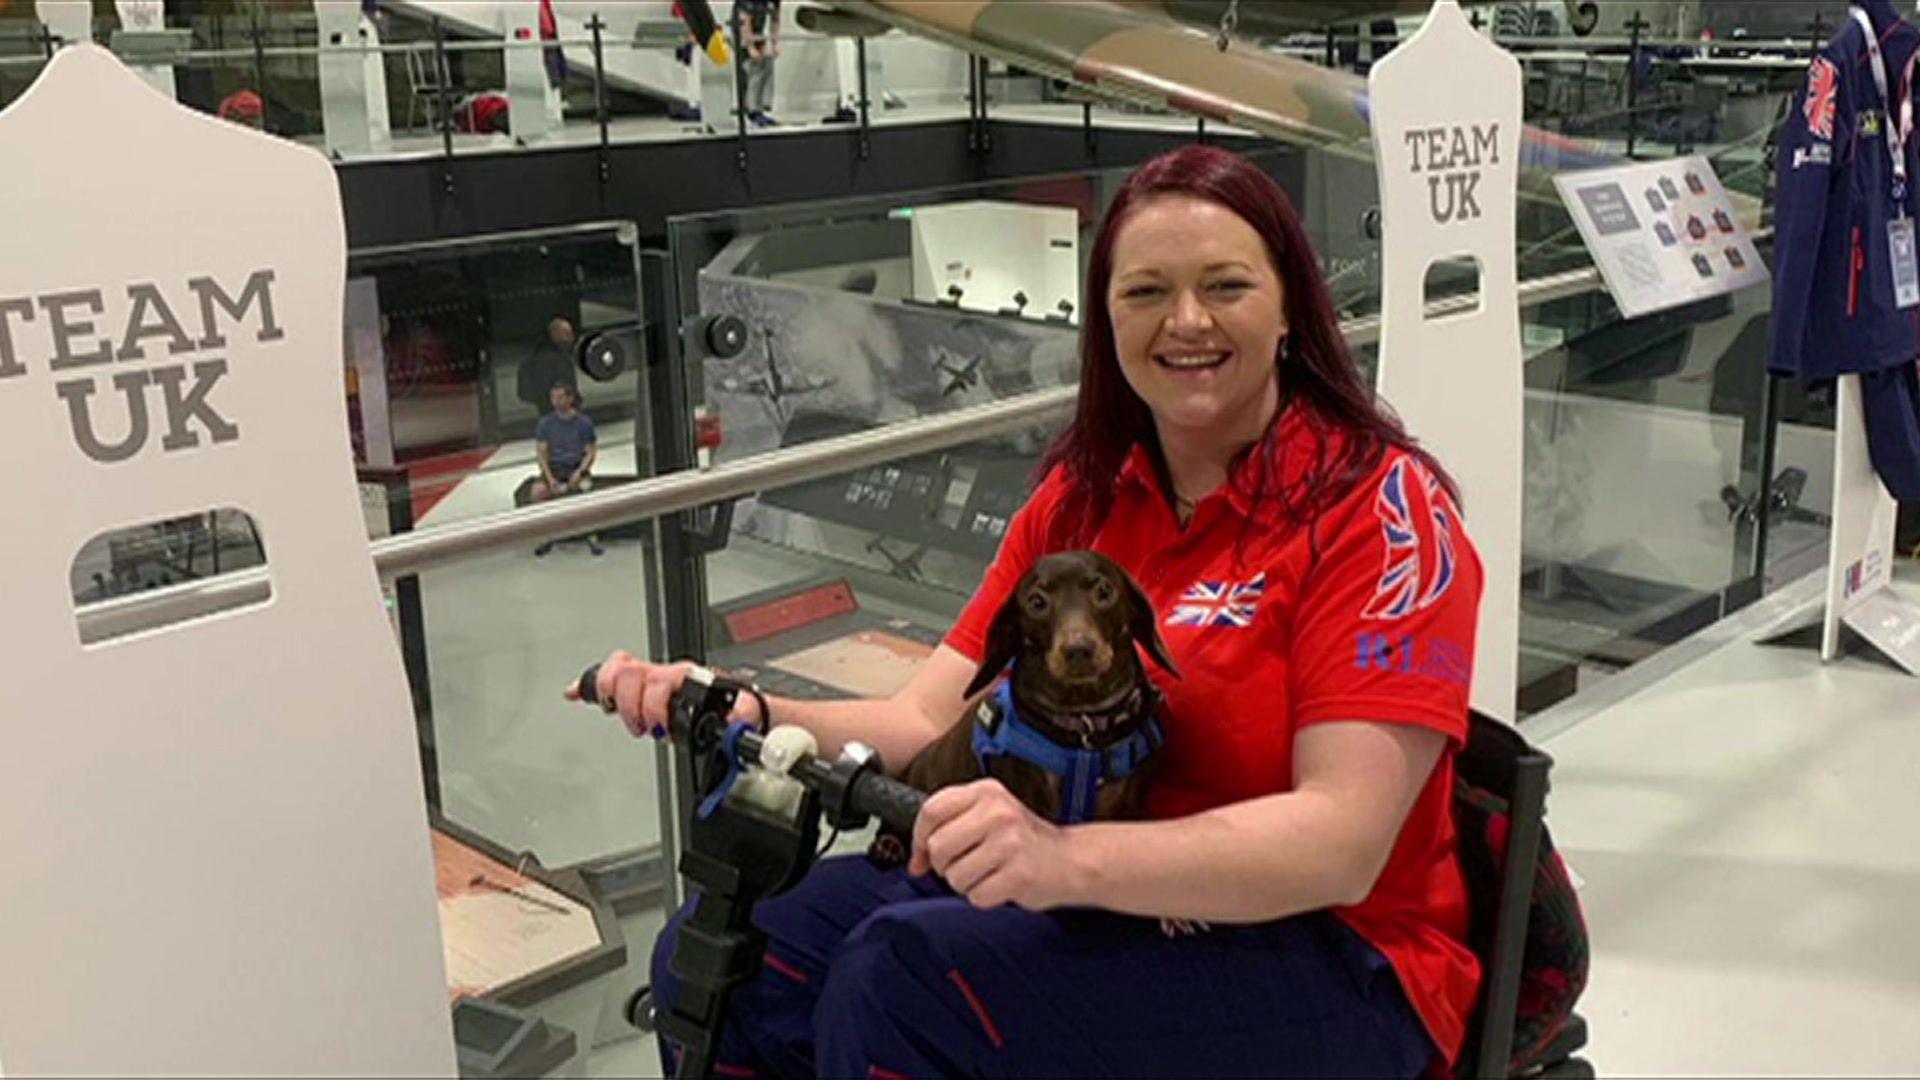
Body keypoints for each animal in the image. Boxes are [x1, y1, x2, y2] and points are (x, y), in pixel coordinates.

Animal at [875, 549, 1175, 860]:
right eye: (1037, 602)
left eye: (1104, 591)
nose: (1078, 650)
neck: (1084, 725)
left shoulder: (1126, 807)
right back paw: (889, 845)